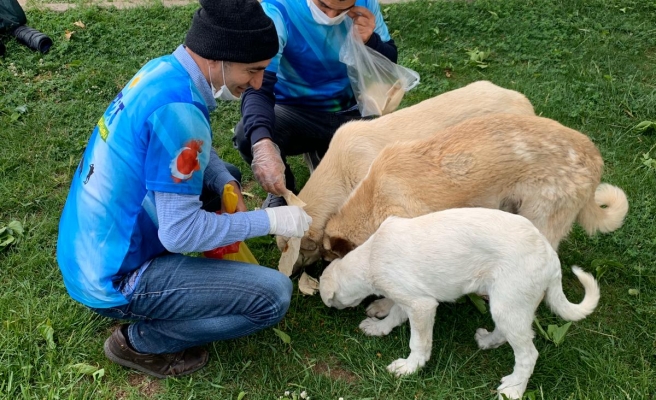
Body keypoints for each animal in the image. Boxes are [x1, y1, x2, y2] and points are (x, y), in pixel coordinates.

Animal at [320, 208, 604, 398]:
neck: (369, 257)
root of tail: (551, 257)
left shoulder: (422, 306)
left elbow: (418, 343)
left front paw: (410, 368)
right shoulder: (410, 295)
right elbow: (395, 315)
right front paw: (378, 328)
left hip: (508, 302)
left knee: (528, 354)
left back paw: (513, 388)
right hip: (508, 303)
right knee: (508, 333)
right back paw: (488, 341)